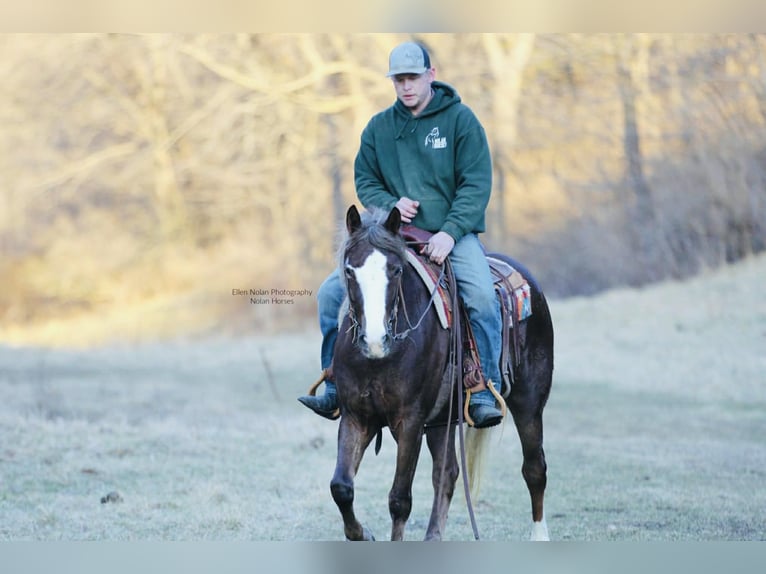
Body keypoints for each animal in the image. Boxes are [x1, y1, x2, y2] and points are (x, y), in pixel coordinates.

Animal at [328, 204, 554, 541]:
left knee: (534, 468)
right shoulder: (356, 416)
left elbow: (399, 499)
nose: (374, 340)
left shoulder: (409, 421)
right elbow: (341, 488)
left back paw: (539, 535)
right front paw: (362, 533)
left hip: (529, 403)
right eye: (349, 271)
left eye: (396, 270)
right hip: (442, 420)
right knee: (447, 473)